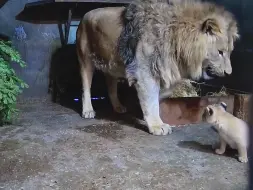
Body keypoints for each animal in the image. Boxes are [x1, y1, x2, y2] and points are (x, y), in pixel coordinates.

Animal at [76, 0, 238, 135]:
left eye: (230, 52)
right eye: (220, 52)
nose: (228, 73)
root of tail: (84, 15)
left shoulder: (167, 72)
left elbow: (158, 98)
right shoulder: (144, 73)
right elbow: (151, 99)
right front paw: (156, 126)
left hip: (112, 66)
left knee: (111, 85)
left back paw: (118, 107)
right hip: (85, 60)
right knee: (85, 88)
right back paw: (88, 110)